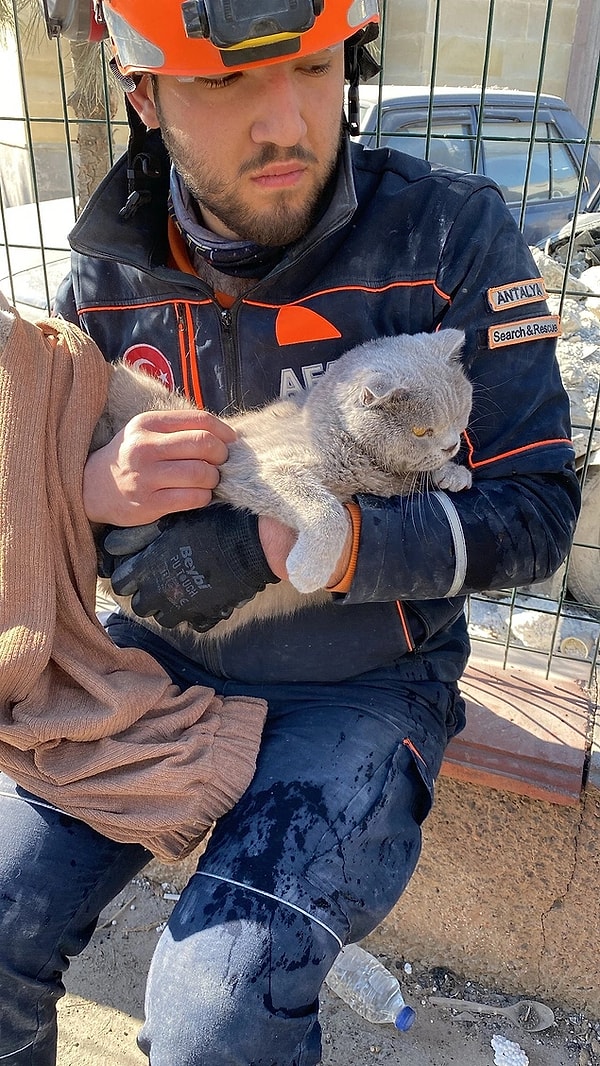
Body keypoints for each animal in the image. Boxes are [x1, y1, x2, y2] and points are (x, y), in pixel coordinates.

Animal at [91, 328, 475, 635]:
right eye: (421, 431)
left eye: (459, 413)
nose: (452, 444)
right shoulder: (258, 467)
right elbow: (329, 510)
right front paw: (308, 571)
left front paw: (452, 472)